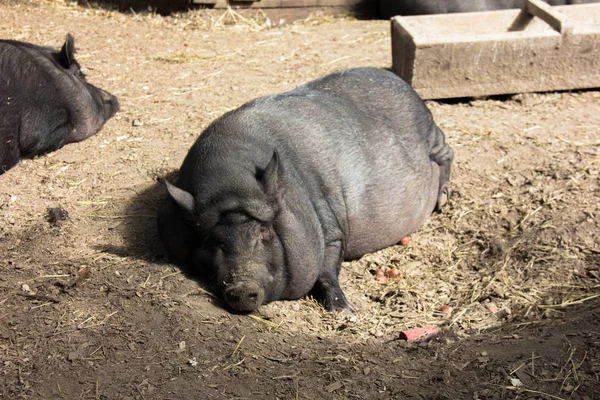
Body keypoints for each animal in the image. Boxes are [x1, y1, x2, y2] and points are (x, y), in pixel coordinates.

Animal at [157, 67, 452, 314]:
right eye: (211, 242)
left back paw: (442, 200)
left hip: (431, 135)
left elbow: (326, 267)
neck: (231, 184)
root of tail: (401, 81)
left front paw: (345, 311)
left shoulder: (331, 226)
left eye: (265, 233)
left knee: (447, 152)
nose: (241, 288)